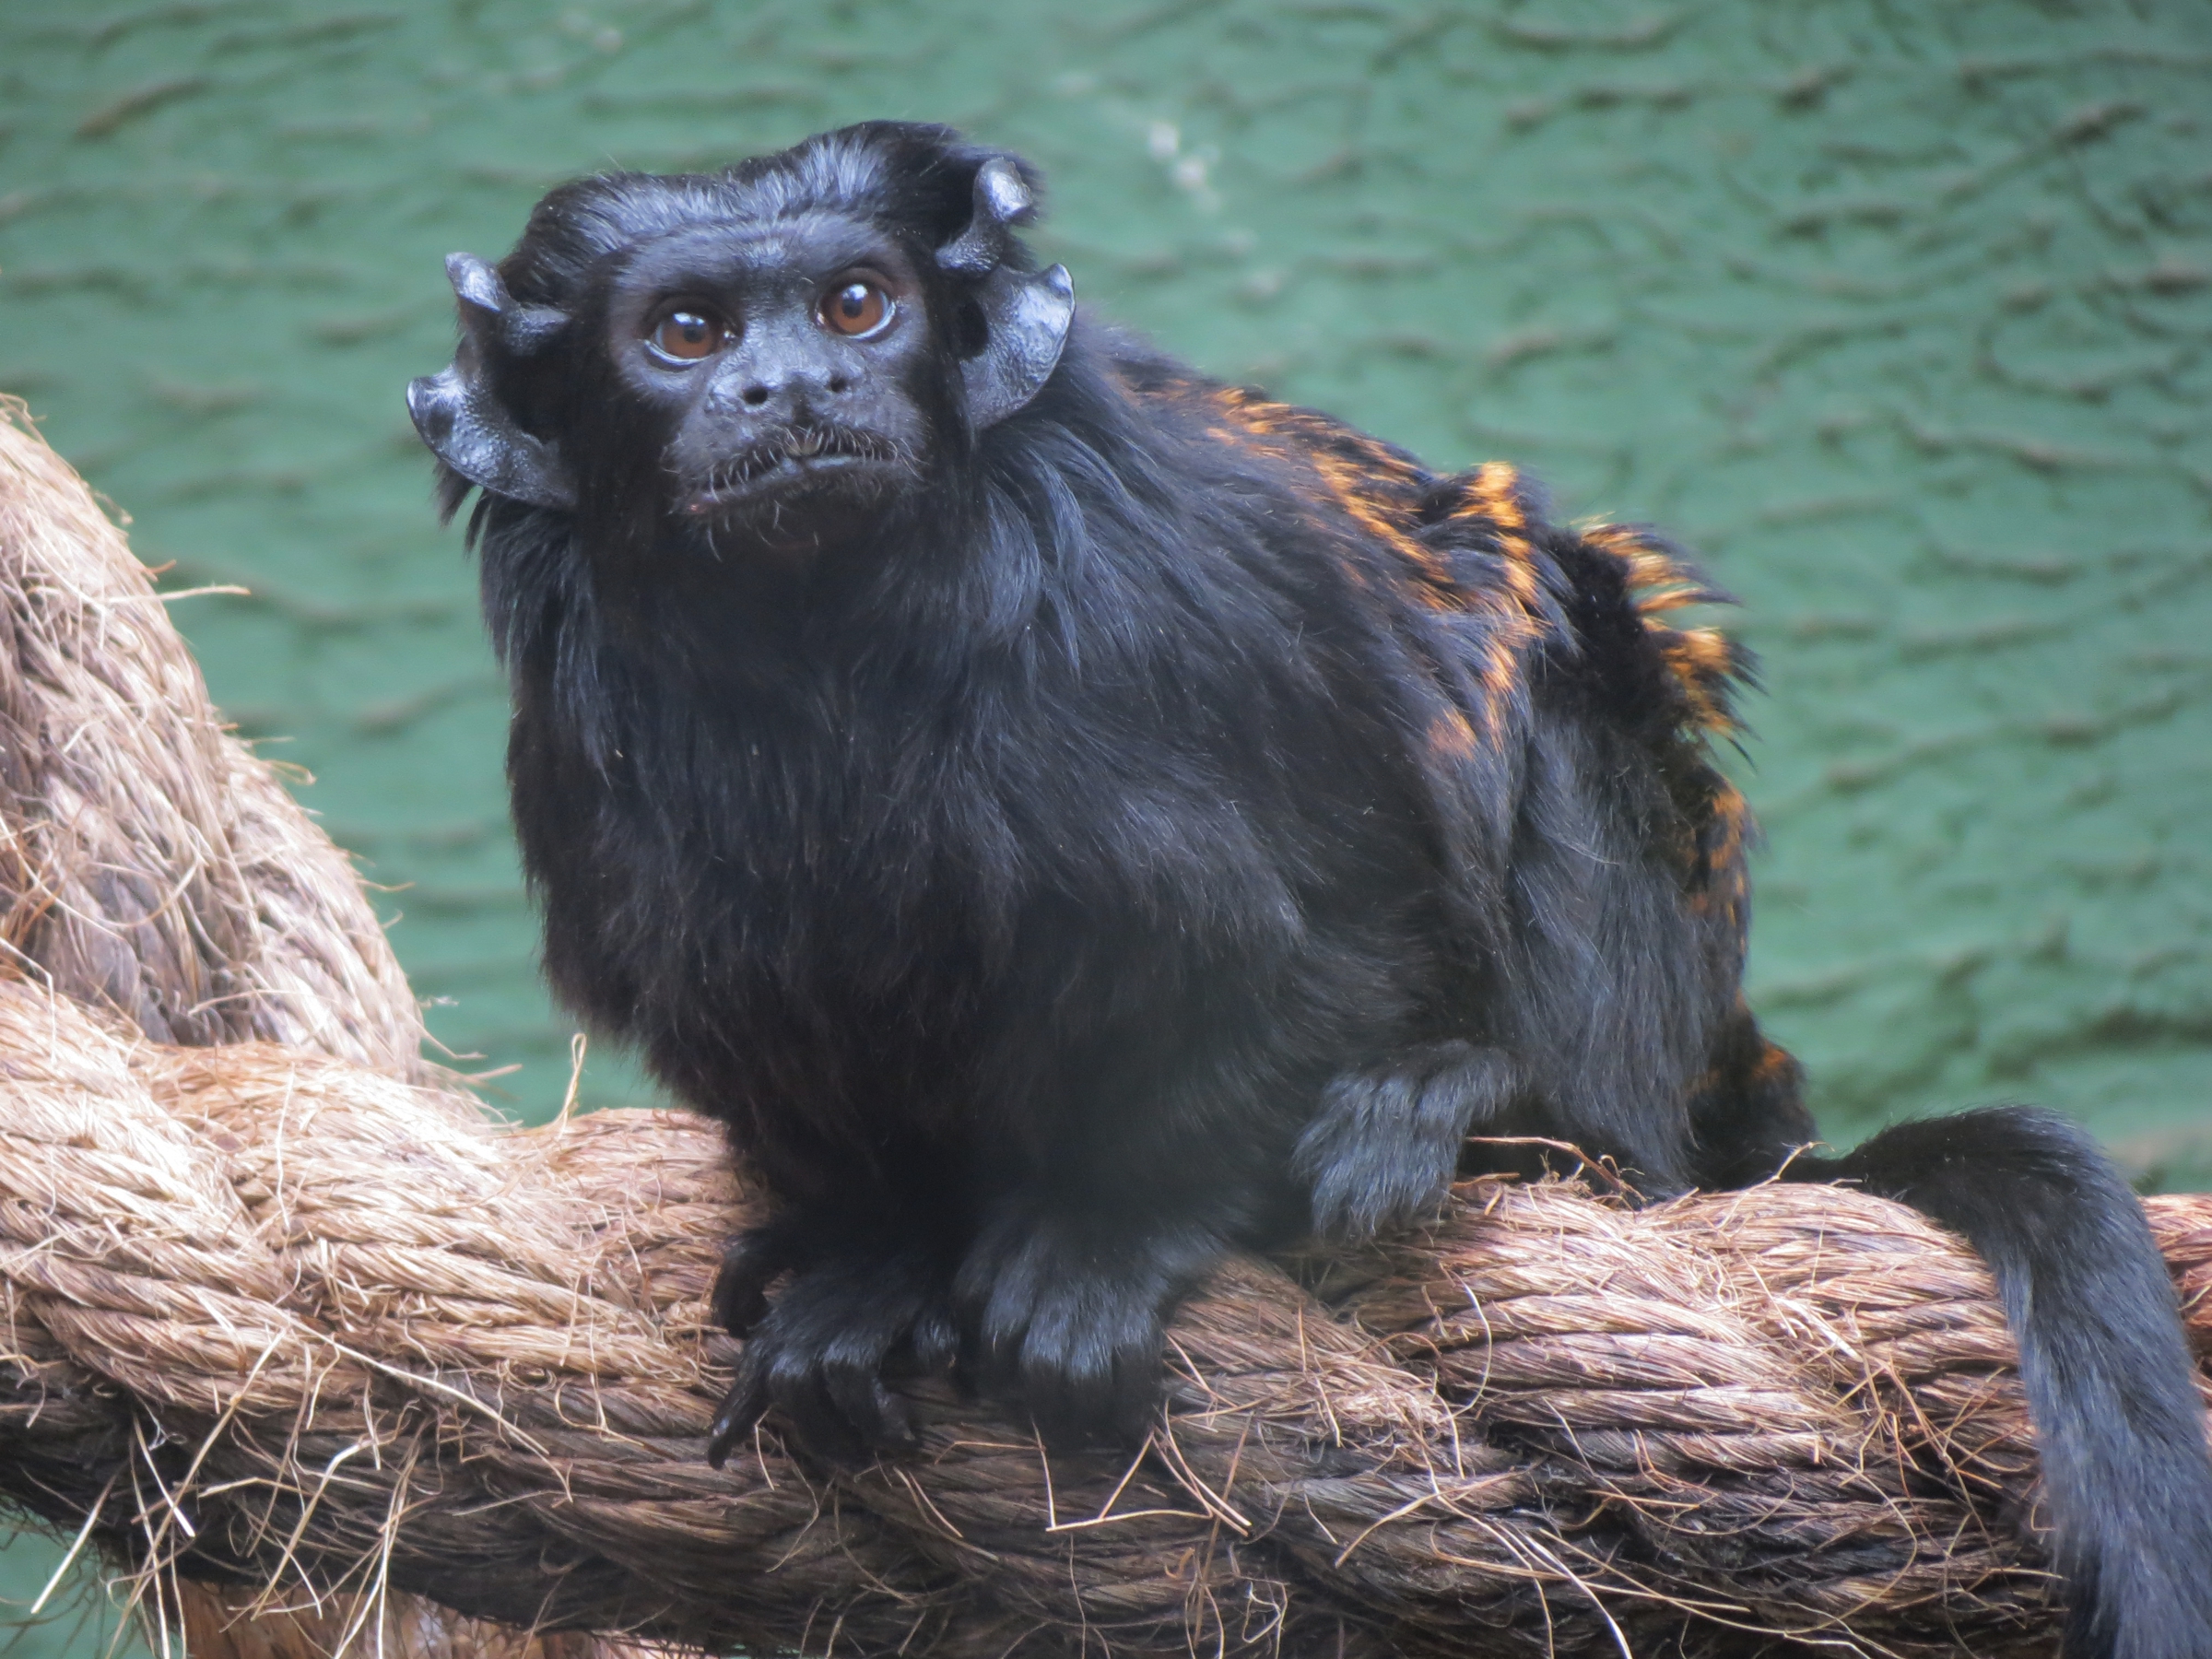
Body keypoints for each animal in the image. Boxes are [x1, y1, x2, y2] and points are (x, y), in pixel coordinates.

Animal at [416, 123, 2212, 1654]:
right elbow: (763, 990)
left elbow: (1303, 926)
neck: (832, 629)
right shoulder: (597, 769)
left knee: (1547, 647)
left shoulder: (1151, 604)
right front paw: (878, 1256)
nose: (793, 386)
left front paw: (1117, 1231)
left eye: (859, 304)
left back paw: (1498, 1112)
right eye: (688, 332)